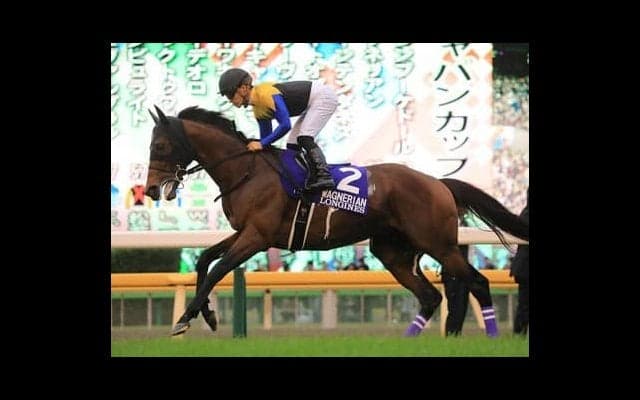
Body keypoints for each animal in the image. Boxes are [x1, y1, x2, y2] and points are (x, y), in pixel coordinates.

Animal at [144, 105, 529, 337]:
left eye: (160, 146)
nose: (149, 189)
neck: (246, 170)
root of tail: (438, 182)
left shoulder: (257, 236)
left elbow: (219, 269)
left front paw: (185, 318)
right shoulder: (246, 232)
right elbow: (204, 259)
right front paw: (206, 315)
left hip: (438, 243)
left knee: (476, 282)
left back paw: (491, 336)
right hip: (393, 252)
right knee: (431, 296)